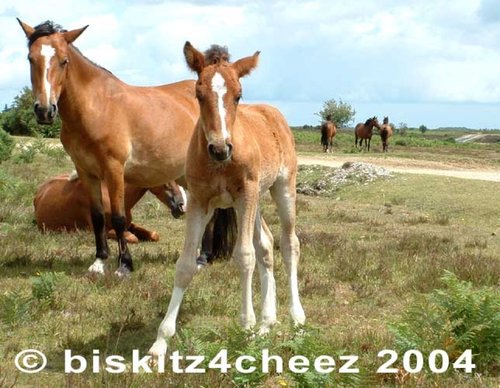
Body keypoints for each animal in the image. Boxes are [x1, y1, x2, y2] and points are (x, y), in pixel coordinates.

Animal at [148, 42, 304, 358]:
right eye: (198, 93)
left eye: (238, 95)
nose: (220, 148)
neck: (219, 164)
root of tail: (273, 113)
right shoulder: (199, 201)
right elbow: (185, 264)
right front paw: (160, 342)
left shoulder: (245, 194)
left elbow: (244, 257)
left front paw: (246, 327)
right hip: (254, 201)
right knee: (266, 243)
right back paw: (268, 322)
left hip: (280, 189)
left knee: (288, 243)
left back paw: (295, 318)